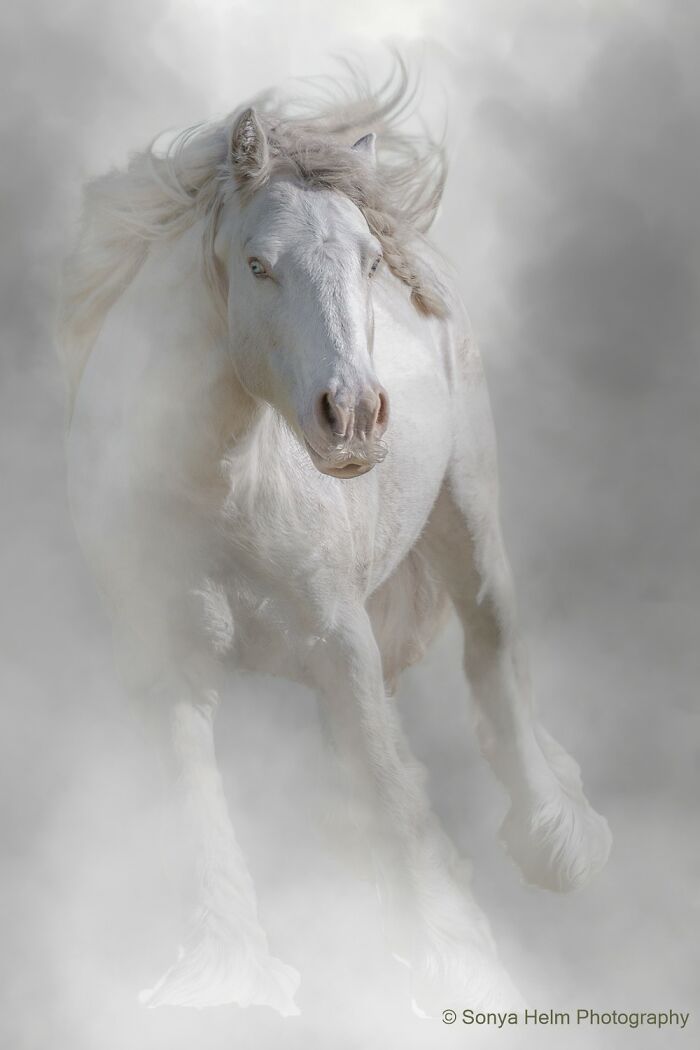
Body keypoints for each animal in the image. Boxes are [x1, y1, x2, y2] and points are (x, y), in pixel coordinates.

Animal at [59, 62, 611, 1017]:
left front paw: (455, 965)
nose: (353, 417)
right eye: (258, 264)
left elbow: (392, 787)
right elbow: (201, 811)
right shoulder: (167, 665)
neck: (215, 494)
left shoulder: (340, 635)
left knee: (494, 654)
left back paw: (556, 841)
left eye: (367, 261)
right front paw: (225, 979)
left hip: (470, 521)